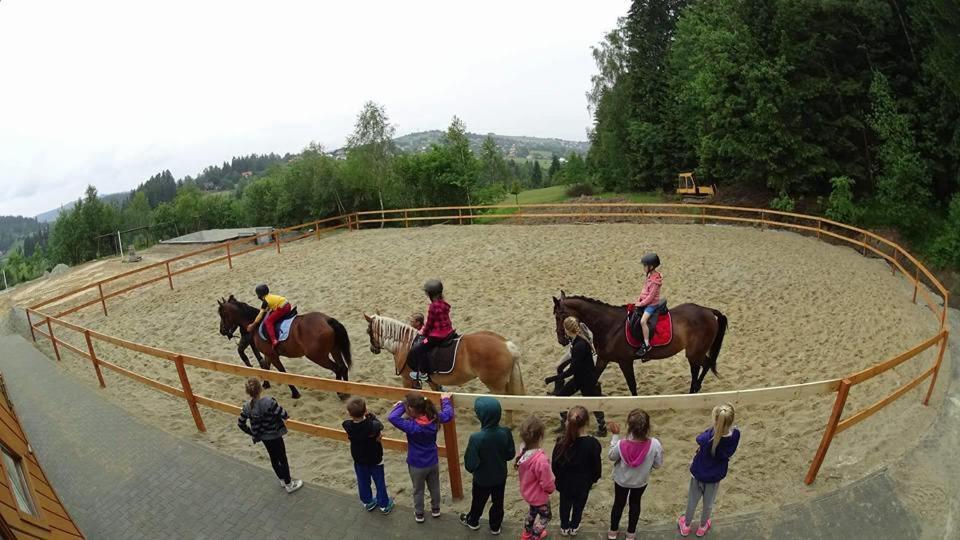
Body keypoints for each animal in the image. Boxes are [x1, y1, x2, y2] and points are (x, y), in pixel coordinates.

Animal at [218, 294, 352, 398]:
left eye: (223, 315)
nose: (222, 331)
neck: (256, 324)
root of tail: (327, 320)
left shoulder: (273, 356)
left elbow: (282, 373)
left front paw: (295, 393)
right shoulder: (269, 354)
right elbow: (265, 367)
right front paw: (266, 384)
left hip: (317, 356)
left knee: (337, 368)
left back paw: (340, 393)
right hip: (334, 350)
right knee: (343, 367)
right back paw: (347, 391)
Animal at [362, 312, 524, 396]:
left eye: (368, 331)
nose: (373, 349)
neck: (405, 343)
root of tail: (505, 344)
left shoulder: (407, 380)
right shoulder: (430, 380)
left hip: (495, 385)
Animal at [556, 294, 728, 394]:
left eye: (559, 315)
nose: (561, 340)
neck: (609, 325)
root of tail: (707, 310)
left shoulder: (625, 362)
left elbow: (632, 385)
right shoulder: (603, 359)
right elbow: (592, 378)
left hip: (694, 353)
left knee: (698, 368)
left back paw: (693, 390)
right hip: (696, 352)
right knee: (705, 364)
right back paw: (696, 388)